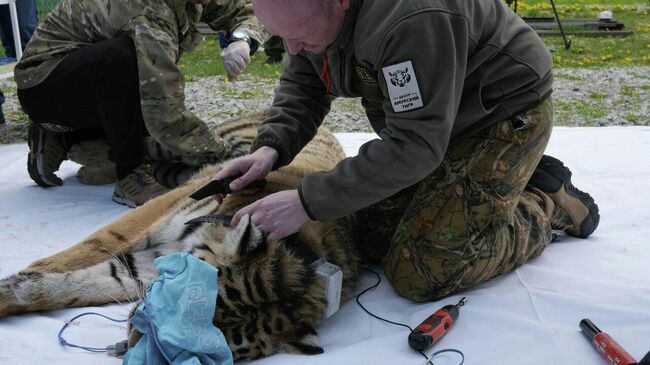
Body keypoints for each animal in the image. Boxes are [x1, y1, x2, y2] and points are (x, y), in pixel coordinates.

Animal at [0, 110, 364, 358]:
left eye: (213, 345)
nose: (132, 340)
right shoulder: (166, 211)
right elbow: (99, 243)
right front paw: (33, 270)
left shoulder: (147, 267)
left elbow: (74, 287)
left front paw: (17, 290)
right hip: (190, 145)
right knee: (146, 144)